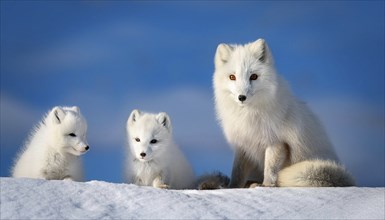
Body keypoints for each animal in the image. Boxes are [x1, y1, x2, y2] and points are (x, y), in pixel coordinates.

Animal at [213, 38, 354, 187]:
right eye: (232, 77)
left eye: (254, 76)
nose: (242, 97)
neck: (249, 114)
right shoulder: (244, 146)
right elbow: (237, 172)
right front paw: (230, 187)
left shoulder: (277, 142)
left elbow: (270, 169)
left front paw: (266, 185)